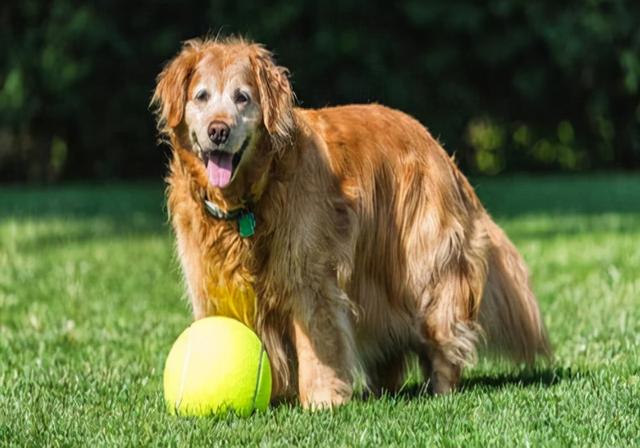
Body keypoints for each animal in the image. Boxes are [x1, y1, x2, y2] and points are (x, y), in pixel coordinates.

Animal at [150, 37, 552, 410]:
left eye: (242, 98)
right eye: (201, 97)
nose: (218, 130)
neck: (248, 200)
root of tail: (437, 147)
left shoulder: (309, 273)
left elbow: (316, 339)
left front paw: (322, 399)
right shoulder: (214, 283)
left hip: (423, 268)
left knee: (442, 334)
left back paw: (440, 388)